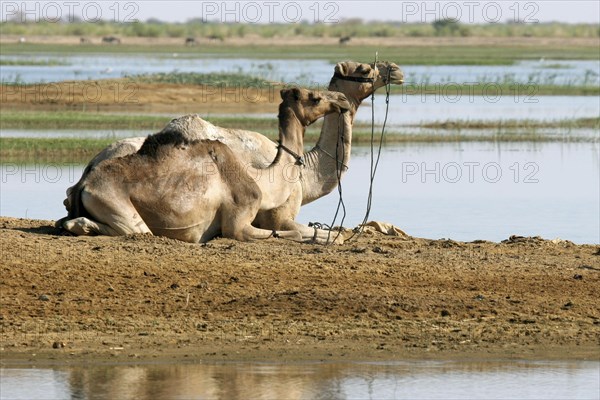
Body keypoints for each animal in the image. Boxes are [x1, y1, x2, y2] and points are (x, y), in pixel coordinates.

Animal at [62, 88, 350, 242]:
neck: (262, 179)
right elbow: (283, 234)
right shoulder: (237, 223)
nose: (342, 100)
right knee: (135, 230)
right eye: (315, 98)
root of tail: (84, 184)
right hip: (119, 208)